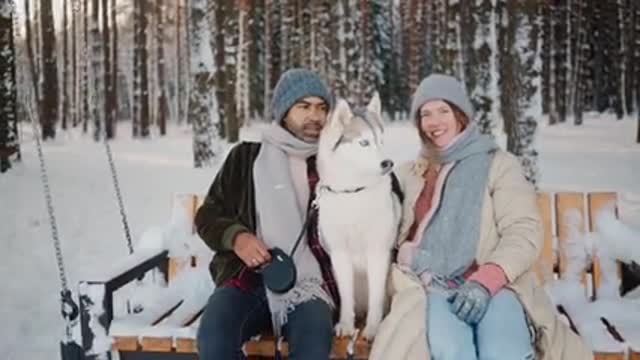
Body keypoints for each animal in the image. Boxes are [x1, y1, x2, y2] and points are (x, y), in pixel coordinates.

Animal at [316, 93, 400, 340]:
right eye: (363, 142)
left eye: (381, 140)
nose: (388, 163)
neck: (354, 193)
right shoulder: (340, 255)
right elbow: (346, 297)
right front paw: (345, 325)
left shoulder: (377, 253)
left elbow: (376, 299)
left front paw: (373, 329)